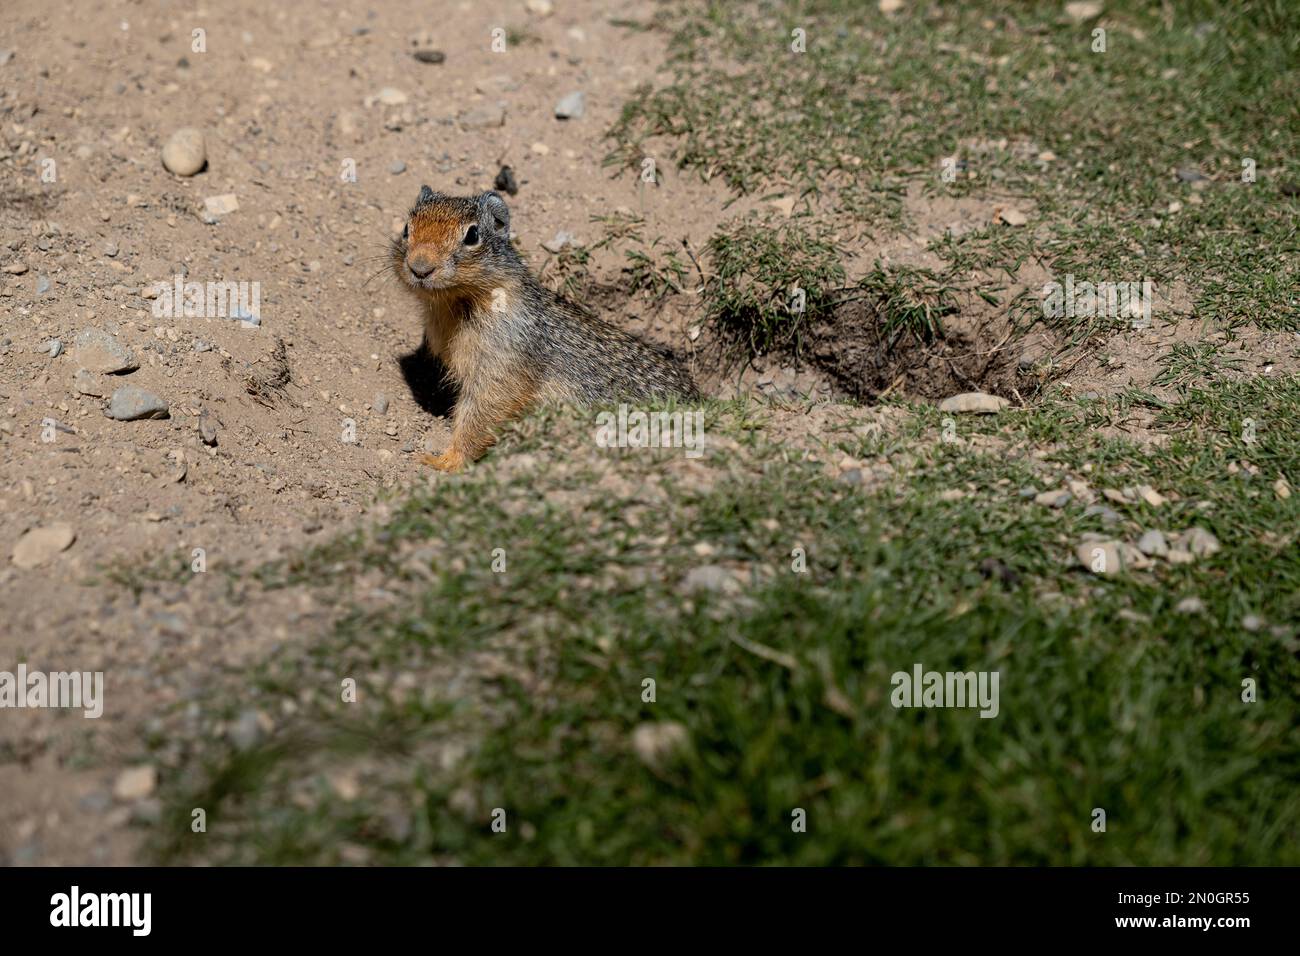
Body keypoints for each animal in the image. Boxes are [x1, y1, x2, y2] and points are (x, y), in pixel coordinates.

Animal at [392, 187, 702, 470]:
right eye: (407, 228)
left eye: (472, 235)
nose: (420, 267)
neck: (455, 304)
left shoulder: (504, 364)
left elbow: (481, 415)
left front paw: (443, 461)